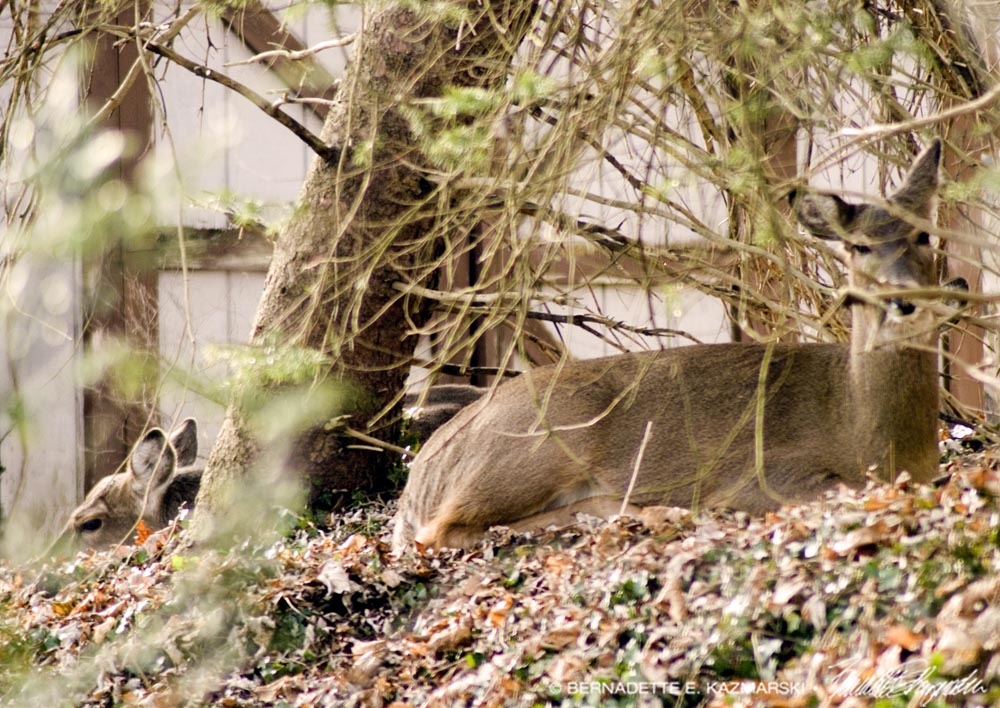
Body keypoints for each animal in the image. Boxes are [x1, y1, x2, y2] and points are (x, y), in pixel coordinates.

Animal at [393, 139, 956, 553]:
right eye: (859, 246)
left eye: (925, 236)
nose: (906, 300)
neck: (868, 435)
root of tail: (421, 474)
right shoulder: (764, 478)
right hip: (540, 439)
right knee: (444, 530)